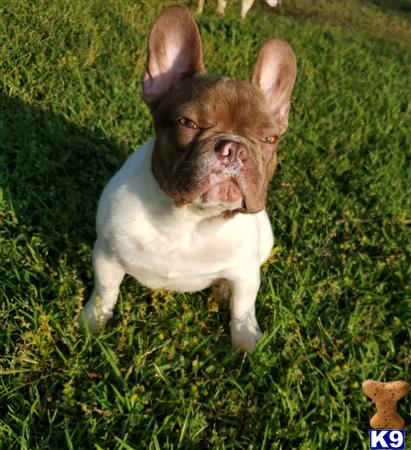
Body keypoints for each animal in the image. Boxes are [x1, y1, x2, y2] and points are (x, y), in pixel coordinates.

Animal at [82, 6, 298, 352]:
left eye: (269, 139)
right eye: (188, 123)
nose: (235, 148)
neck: (189, 220)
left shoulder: (247, 274)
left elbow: (243, 307)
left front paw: (246, 340)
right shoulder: (106, 255)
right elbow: (105, 292)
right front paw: (92, 323)